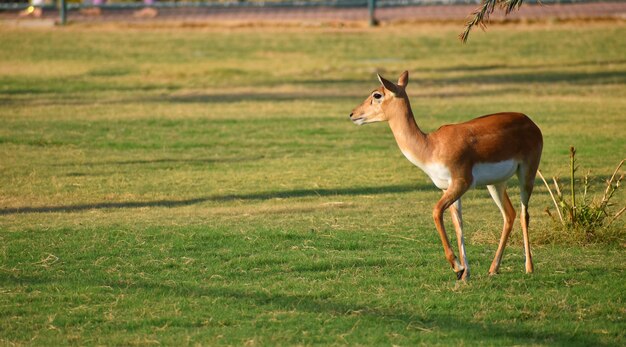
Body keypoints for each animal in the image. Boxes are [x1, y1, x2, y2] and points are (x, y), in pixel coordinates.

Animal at [346, 72, 540, 282]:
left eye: (377, 94)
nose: (353, 114)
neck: (430, 146)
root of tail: (530, 121)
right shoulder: (446, 187)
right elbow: (458, 224)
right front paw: (464, 273)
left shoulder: (461, 182)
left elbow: (436, 212)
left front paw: (457, 267)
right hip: (496, 183)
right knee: (509, 214)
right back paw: (493, 268)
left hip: (527, 173)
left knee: (524, 214)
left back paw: (529, 268)